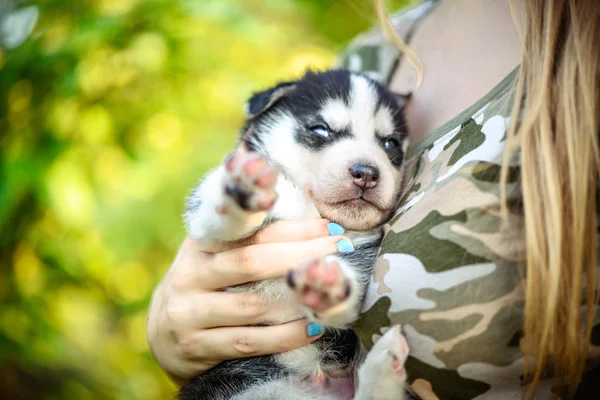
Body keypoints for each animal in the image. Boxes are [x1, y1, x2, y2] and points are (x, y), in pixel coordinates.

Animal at [180, 70, 410, 398]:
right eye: (321, 129)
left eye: (390, 143)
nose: (366, 173)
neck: (309, 209)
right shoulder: (206, 220)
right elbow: (213, 212)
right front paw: (242, 192)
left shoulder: (362, 256)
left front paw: (327, 285)